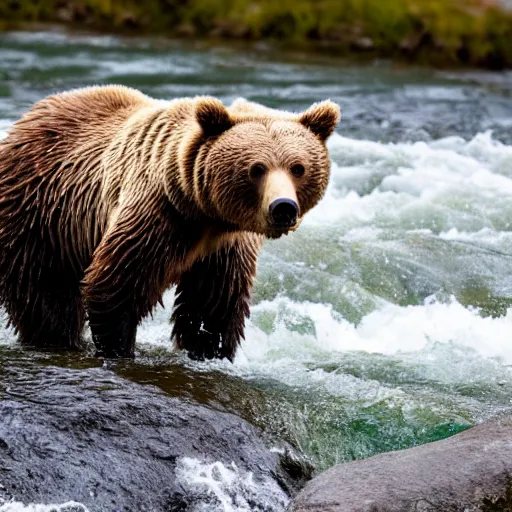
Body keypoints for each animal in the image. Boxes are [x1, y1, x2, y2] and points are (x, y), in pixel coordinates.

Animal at [0, 86, 340, 360]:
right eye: (256, 169)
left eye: (298, 167)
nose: (283, 207)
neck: (205, 214)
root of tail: (26, 118)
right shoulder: (158, 214)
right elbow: (116, 283)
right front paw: (118, 347)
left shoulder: (227, 245)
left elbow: (214, 302)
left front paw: (209, 349)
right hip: (40, 212)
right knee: (43, 290)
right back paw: (53, 337)